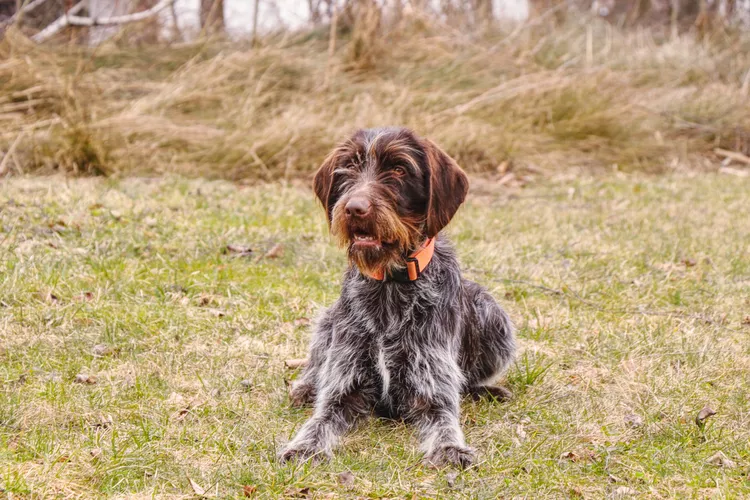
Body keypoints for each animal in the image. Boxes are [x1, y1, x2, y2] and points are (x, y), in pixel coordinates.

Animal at [280, 127, 516, 466]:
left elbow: (445, 419)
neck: (390, 284)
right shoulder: (344, 385)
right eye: (349, 167)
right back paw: (306, 386)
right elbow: (320, 419)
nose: (355, 208)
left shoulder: (431, 388)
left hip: (492, 314)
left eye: (399, 169)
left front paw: (450, 448)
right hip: (329, 319)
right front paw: (303, 446)